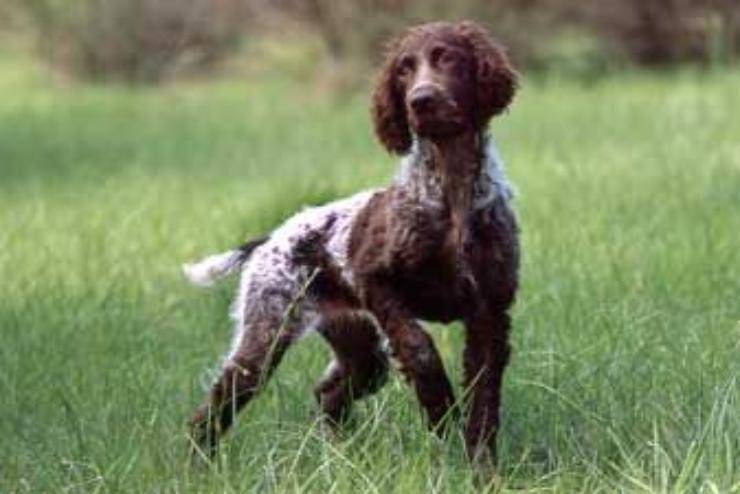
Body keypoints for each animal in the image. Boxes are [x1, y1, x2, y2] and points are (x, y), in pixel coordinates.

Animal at [185, 20, 520, 466]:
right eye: (403, 69)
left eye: (447, 57)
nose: (420, 101)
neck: (452, 191)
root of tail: (271, 237)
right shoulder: (375, 281)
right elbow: (420, 347)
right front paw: (439, 408)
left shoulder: (490, 312)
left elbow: (483, 402)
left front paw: (481, 468)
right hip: (267, 333)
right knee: (213, 407)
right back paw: (198, 466)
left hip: (360, 350)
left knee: (328, 394)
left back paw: (338, 457)